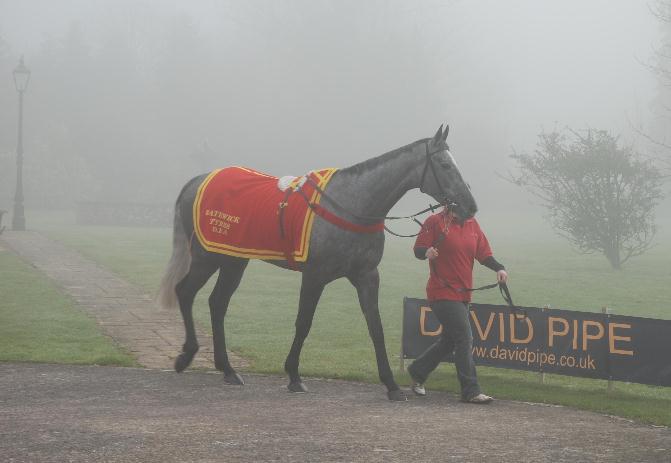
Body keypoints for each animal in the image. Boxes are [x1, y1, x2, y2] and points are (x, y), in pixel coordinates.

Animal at [159, 124, 478, 402]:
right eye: (445, 165)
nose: (470, 206)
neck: (352, 204)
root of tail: (198, 180)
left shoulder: (367, 276)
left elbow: (375, 326)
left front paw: (391, 385)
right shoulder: (315, 275)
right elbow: (304, 323)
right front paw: (294, 376)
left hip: (234, 260)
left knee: (217, 303)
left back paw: (227, 369)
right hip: (207, 257)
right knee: (186, 292)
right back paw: (186, 355)